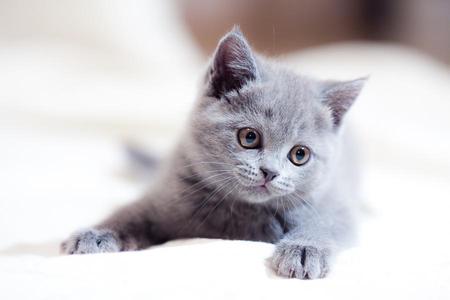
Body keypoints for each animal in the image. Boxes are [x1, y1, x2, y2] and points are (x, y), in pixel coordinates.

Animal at [61, 27, 368, 280]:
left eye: (300, 155)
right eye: (249, 137)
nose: (269, 172)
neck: (243, 211)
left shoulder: (335, 204)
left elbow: (325, 224)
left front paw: (304, 249)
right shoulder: (165, 196)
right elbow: (130, 212)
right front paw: (96, 234)